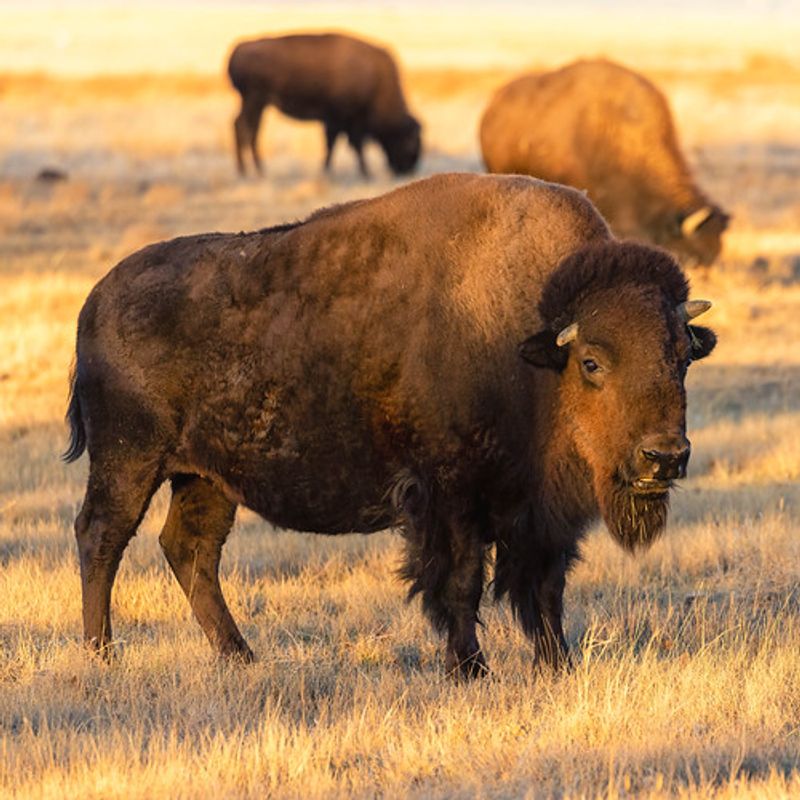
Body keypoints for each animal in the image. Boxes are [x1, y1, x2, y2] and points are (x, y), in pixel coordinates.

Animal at [65, 173, 715, 677]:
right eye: (592, 362)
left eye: (683, 355)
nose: (664, 456)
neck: (527, 346)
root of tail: (95, 301)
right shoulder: (449, 498)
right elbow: (460, 582)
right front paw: (469, 670)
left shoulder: (539, 517)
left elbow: (545, 589)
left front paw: (558, 666)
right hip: (129, 461)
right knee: (102, 538)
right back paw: (102, 656)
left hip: (205, 479)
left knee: (191, 550)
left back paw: (240, 656)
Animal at [228, 32, 422, 178]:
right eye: (409, 144)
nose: (407, 171)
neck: (376, 79)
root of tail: (239, 48)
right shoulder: (346, 119)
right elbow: (346, 145)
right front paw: (365, 173)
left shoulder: (336, 121)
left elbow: (335, 145)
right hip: (254, 100)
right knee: (245, 128)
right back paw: (250, 171)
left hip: (257, 103)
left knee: (247, 128)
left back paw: (252, 170)